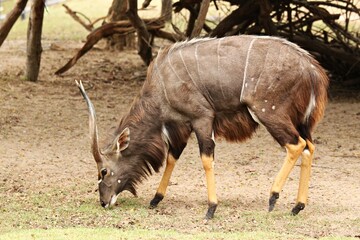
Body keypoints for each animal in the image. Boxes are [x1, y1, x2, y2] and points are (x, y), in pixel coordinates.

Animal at [76, 35, 330, 219]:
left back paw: (273, 197)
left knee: (295, 145)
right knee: (309, 147)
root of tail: (312, 68)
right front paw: (156, 199)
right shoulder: (182, 126)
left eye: (104, 171)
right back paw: (297, 206)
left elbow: (206, 158)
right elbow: (172, 158)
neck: (161, 85)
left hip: (270, 112)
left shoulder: (202, 118)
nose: (103, 201)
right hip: (300, 122)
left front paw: (211, 208)